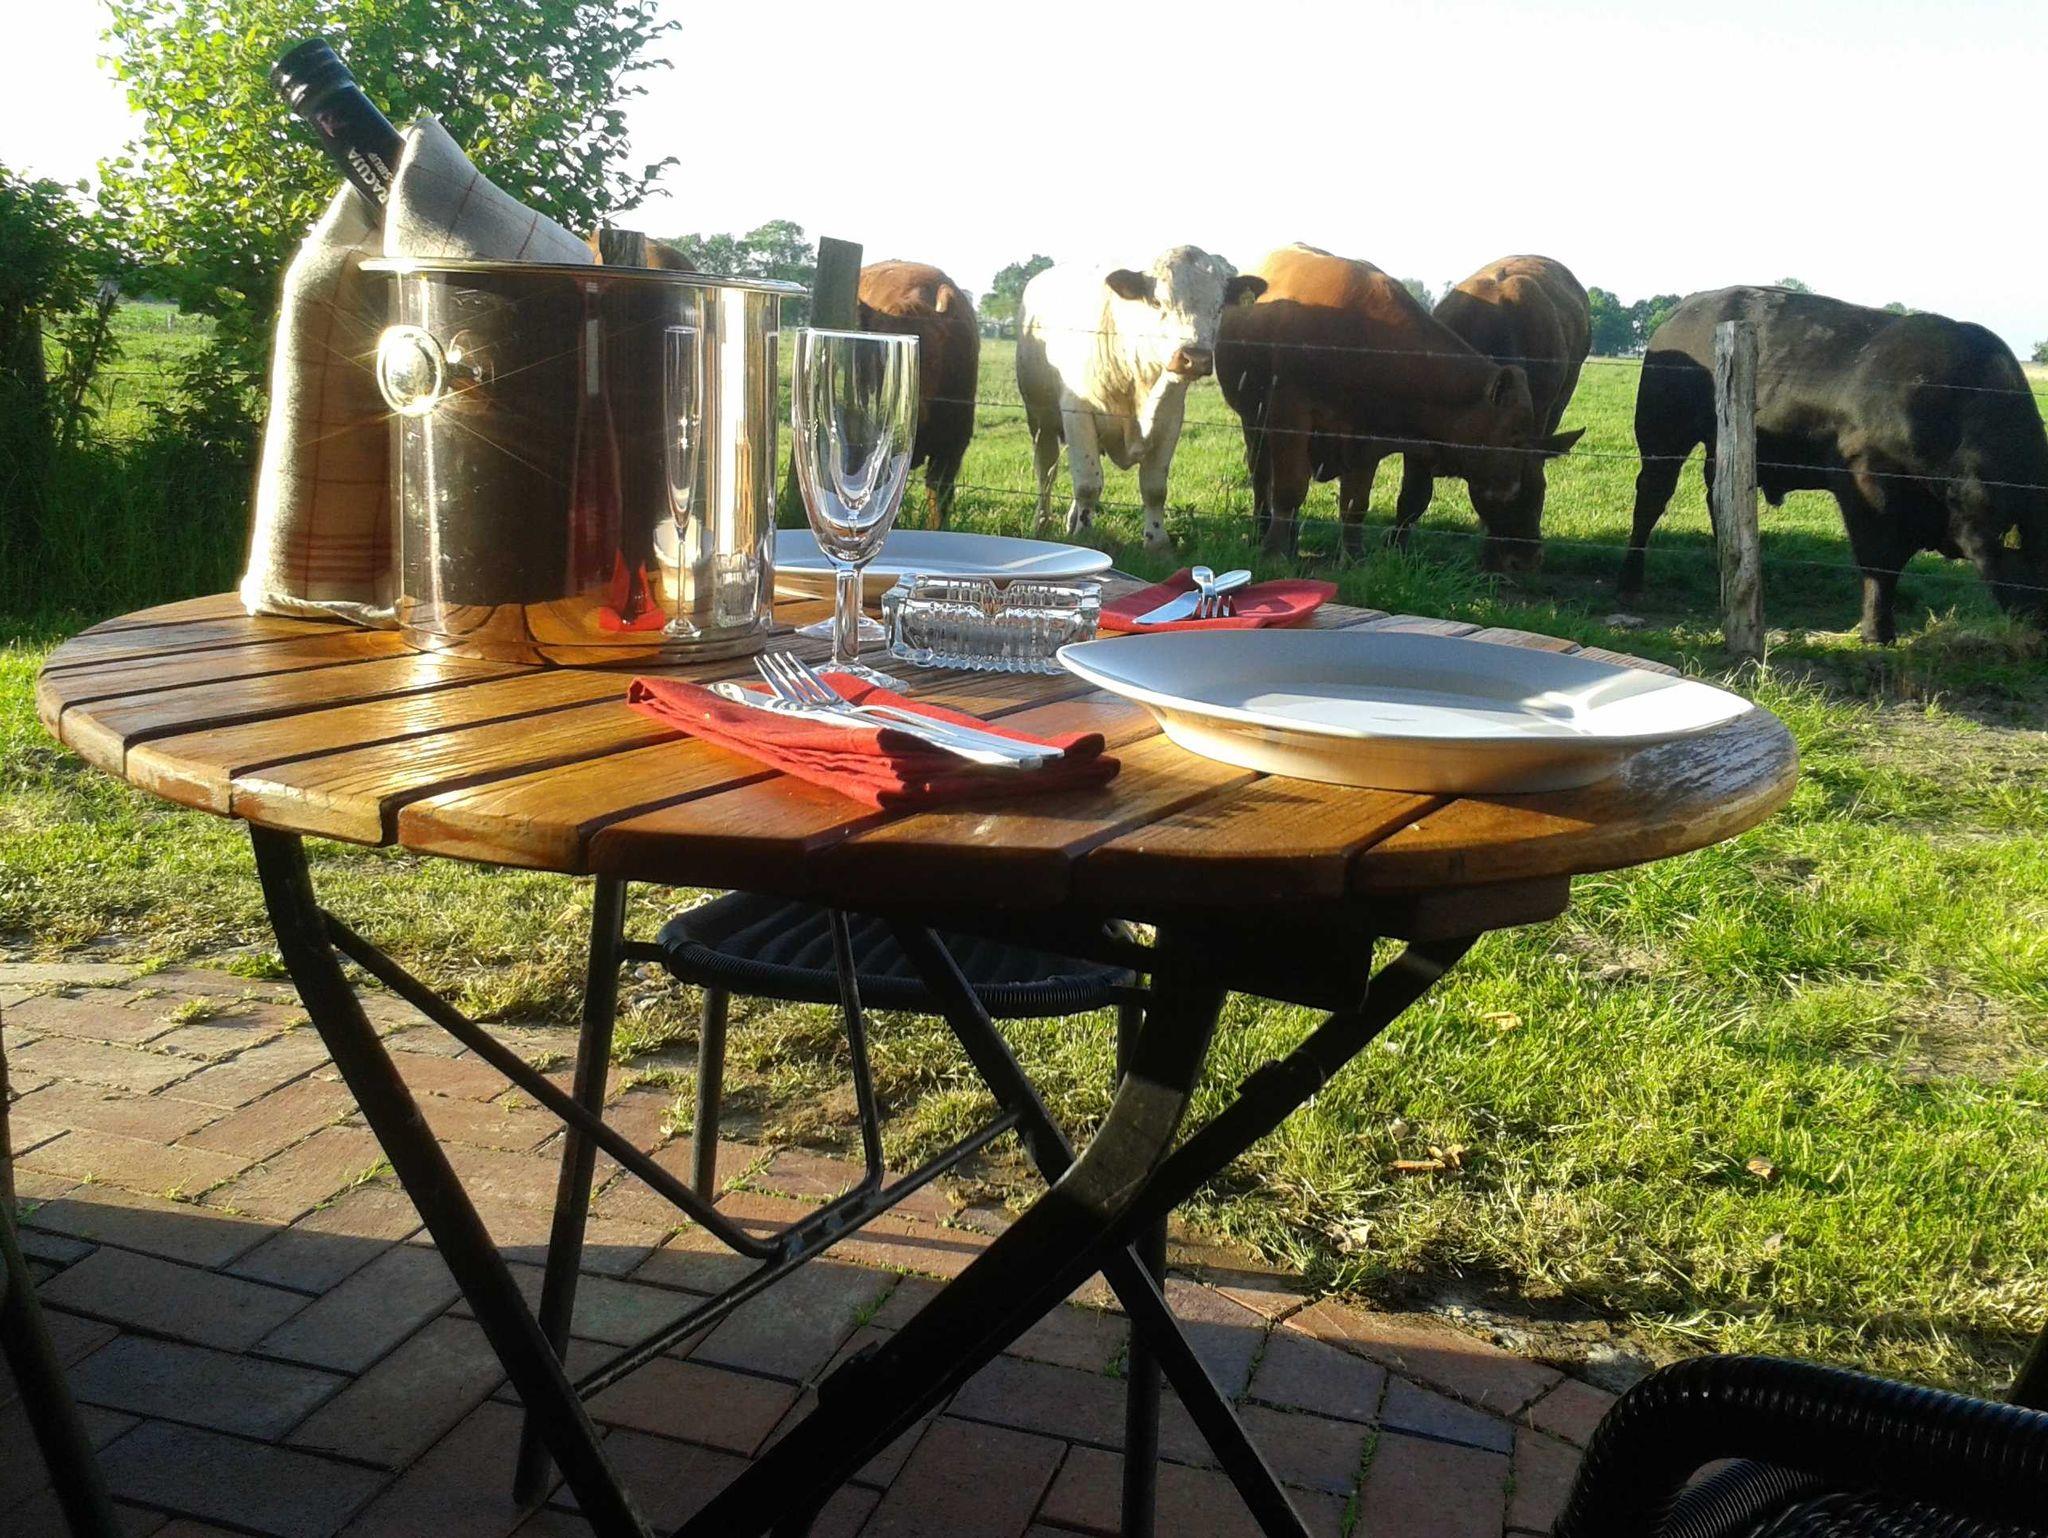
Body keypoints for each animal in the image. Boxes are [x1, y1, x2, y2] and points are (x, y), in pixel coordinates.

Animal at [1018, 247, 1264, 552]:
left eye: (1218, 307)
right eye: (1158, 302)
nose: (1195, 358)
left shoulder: (1170, 421)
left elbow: (1154, 489)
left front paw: (1157, 541)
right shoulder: (1078, 414)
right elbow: (1088, 483)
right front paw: (1085, 535)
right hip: (1040, 420)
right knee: (1047, 471)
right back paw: (1042, 522)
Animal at [1622, 287, 2048, 643]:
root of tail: (1686, 307)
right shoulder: (1866, 488)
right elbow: (1880, 563)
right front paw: (1877, 633)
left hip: (1722, 446)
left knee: (1721, 500)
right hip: (1662, 435)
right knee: (1651, 498)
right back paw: (1632, 579)